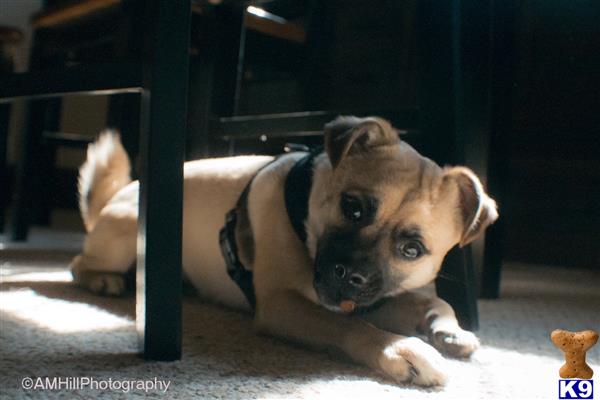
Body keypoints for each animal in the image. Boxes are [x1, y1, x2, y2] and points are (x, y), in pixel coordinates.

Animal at [72, 115, 500, 384]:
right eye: (352, 207)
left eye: (412, 249)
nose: (351, 275)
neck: (306, 214)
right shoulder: (283, 304)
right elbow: (347, 324)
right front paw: (400, 349)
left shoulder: (382, 297)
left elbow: (436, 302)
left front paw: (450, 331)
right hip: (126, 232)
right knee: (78, 264)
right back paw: (104, 280)